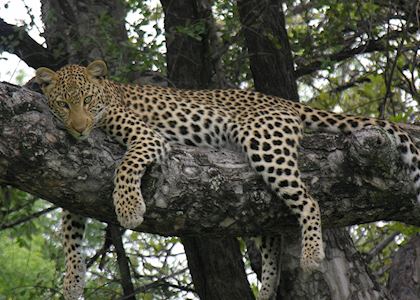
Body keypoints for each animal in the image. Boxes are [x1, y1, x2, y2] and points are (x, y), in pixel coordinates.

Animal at [35, 60, 420, 300]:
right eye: (63, 104)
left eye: (86, 100)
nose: (79, 129)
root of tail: (282, 100)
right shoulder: (73, 183)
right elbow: (70, 233)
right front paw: (72, 281)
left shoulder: (148, 137)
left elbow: (125, 167)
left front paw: (129, 208)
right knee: (273, 237)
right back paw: (267, 290)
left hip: (265, 145)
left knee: (309, 201)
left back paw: (312, 254)